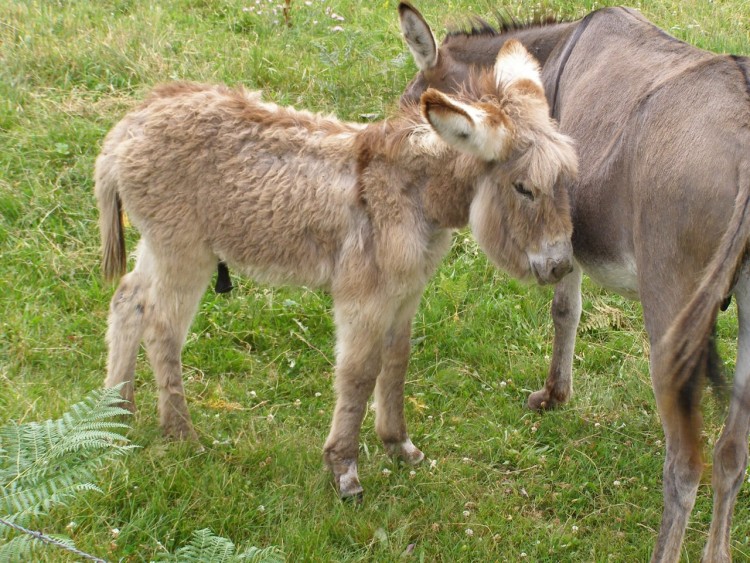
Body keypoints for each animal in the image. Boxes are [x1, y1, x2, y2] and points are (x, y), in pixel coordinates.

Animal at [94, 43, 576, 498]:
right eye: (524, 189)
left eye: (563, 184)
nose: (561, 266)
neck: (410, 192)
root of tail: (129, 124)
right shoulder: (364, 297)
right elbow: (359, 373)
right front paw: (344, 470)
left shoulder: (406, 292)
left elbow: (397, 361)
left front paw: (399, 445)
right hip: (183, 251)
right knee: (162, 328)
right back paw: (180, 433)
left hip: (159, 244)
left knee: (128, 300)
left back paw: (116, 411)